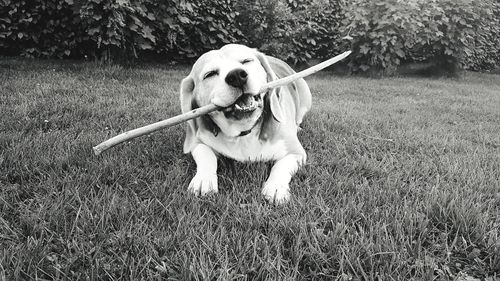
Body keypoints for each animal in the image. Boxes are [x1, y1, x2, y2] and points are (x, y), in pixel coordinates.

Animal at [180, 43, 312, 202]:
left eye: (246, 61)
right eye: (210, 74)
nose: (236, 76)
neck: (243, 131)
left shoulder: (296, 153)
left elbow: (281, 166)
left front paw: (276, 187)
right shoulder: (197, 142)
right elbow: (207, 155)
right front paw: (203, 179)